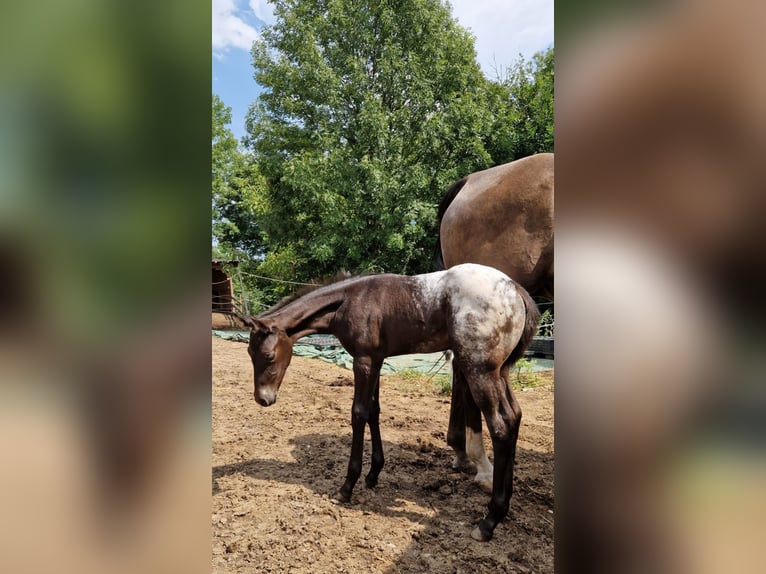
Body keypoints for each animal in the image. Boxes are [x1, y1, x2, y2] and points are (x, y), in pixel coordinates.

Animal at [242, 264, 540, 544]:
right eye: (249, 353)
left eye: (268, 356)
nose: (263, 398)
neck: (349, 299)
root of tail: (515, 289)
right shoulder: (377, 360)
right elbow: (374, 411)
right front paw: (373, 474)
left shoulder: (362, 360)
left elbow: (359, 413)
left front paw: (348, 486)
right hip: (501, 371)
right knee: (514, 417)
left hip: (480, 370)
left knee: (501, 425)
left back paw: (488, 522)